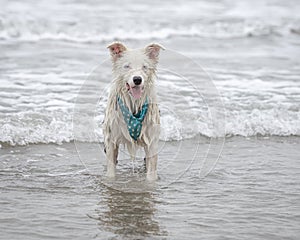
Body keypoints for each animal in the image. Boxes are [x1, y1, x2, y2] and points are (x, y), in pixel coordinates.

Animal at [103, 42, 164, 180]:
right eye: (127, 66)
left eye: (144, 67)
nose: (137, 79)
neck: (133, 104)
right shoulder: (111, 139)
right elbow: (111, 170)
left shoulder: (152, 141)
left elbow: (151, 173)